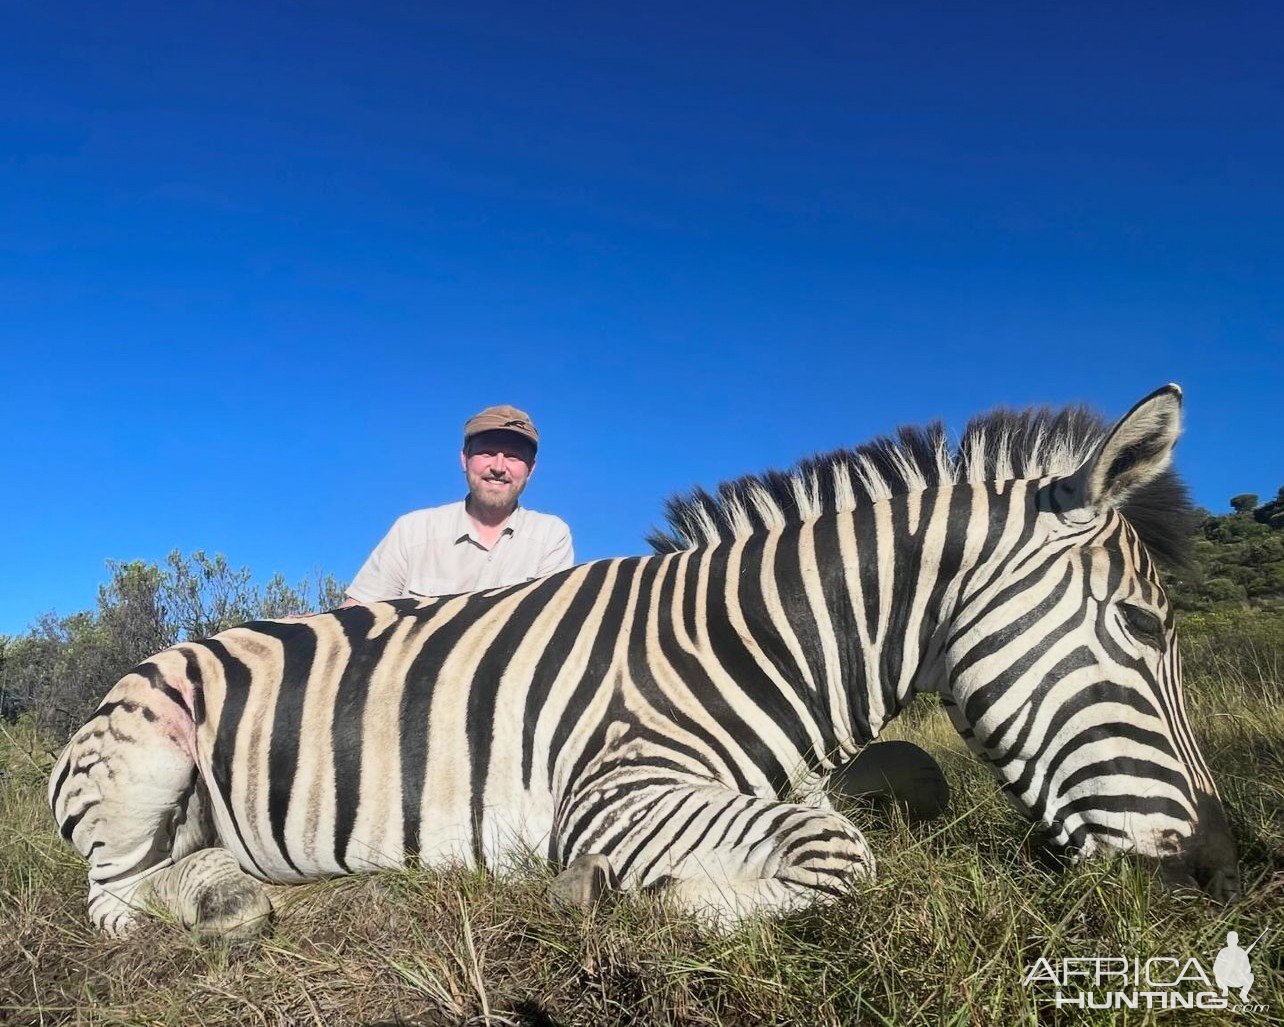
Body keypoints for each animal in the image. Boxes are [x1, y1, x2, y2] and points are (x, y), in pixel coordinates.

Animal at [52, 385, 1242, 939]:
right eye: (1144, 628)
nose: (1225, 866)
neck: (758, 644)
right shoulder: (617, 791)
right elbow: (843, 857)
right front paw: (638, 897)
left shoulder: (796, 785)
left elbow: (879, 803)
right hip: (150, 758)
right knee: (116, 897)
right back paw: (218, 908)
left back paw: (244, 887)